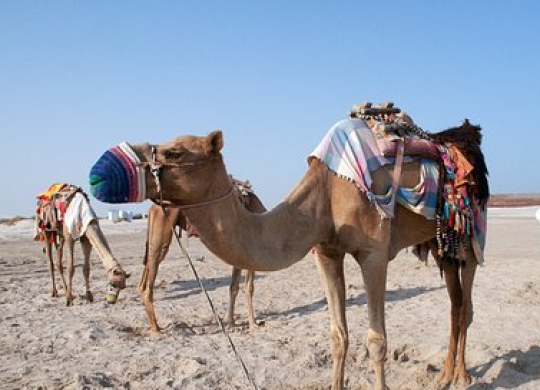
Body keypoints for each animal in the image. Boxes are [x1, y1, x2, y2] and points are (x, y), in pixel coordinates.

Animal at [138, 177, 266, 332]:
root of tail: (153, 207)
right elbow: (248, 288)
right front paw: (253, 322)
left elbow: (234, 287)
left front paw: (231, 322)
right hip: (163, 228)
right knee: (154, 264)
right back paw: (155, 328)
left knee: (147, 265)